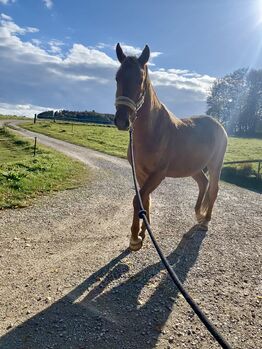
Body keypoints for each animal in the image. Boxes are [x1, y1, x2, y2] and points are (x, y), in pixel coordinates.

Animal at [114, 43, 227, 250]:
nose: (122, 121)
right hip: (194, 167)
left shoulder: (158, 174)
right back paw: (198, 214)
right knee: (203, 183)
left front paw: (134, 238)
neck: (153, 131)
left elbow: (138, 201)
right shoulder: (140, 173)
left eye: (140, 80)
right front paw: (143, 232)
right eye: (117, 77)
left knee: (213, 189)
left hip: (216, 165)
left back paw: (205, 221)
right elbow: (145, 201)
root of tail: (219, 126)